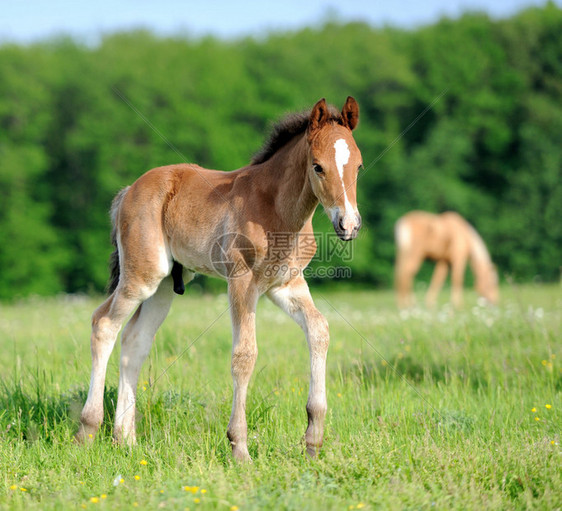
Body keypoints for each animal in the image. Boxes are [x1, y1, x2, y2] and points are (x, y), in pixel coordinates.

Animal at [76, 96, 360, 460]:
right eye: (318, 166)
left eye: (358, 167)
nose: (348, 225)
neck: (276, 208)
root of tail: (129, 190)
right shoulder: (241, 281)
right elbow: (244, 354)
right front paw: (239, 447)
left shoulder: (285, 284)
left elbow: (319, 330)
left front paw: (313, 440)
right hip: (143, 275)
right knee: (104, 324)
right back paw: (88, 429)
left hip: (165, 285)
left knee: (135, 342)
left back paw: (125, 438)